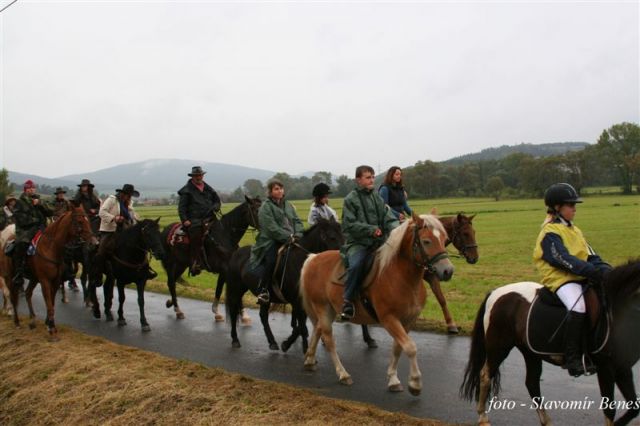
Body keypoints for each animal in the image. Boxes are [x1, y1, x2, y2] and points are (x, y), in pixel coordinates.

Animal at [6, 206, 96, 340]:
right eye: (80, 222)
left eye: (88, 221)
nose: (94, 243)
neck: (50, 247)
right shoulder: (45, 281)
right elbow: (49, 304)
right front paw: (52, 329)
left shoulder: (55, 281)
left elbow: (52, 303)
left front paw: (49, 323)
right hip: (10, 277)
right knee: (12, 297)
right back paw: (16, 321)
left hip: (33, 278)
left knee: (27, 293)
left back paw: (32, 320)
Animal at [226, 218, 344, 352]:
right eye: (332, 237)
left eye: (343, 235)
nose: (343, 257)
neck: (301, 263)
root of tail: (236, 253)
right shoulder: (297, 302)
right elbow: (302, 327)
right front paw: (304, 349)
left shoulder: (303, 302)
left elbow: (301, 326)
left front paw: (287, 344)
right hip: (236, 290)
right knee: (233, 311)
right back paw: (235, 339)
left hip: (265, 298)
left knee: (263, 316)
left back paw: (272, 342)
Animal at [302, 213, 456, 392]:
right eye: (426, 241)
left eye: (445, 238)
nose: (448, 271)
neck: (401, 277)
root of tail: (313, 258)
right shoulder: (389, 319)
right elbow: (410, 347)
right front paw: (415, 383)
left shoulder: (408, 321)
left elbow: (398, 348)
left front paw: (393, 379)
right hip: (323, 308)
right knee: (328, 340)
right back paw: (343, 374)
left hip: (330, 310)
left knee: (318, 329)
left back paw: (309, 360)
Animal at [360, 211, 476, 348]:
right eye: (465, 234)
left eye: (474, 232)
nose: (475, 258)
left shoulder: (432, 276)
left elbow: (441, 299)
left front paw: (451, 324)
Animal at [460, 260, 640, 426]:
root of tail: (496, 293)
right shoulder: (605, 368)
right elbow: (610, 409)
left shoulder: (623, 369)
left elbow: (634, 407)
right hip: (498, 347)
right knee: (485, 375)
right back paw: (483, 416)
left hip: (530, 352)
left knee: (532, 383)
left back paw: (546, 420)